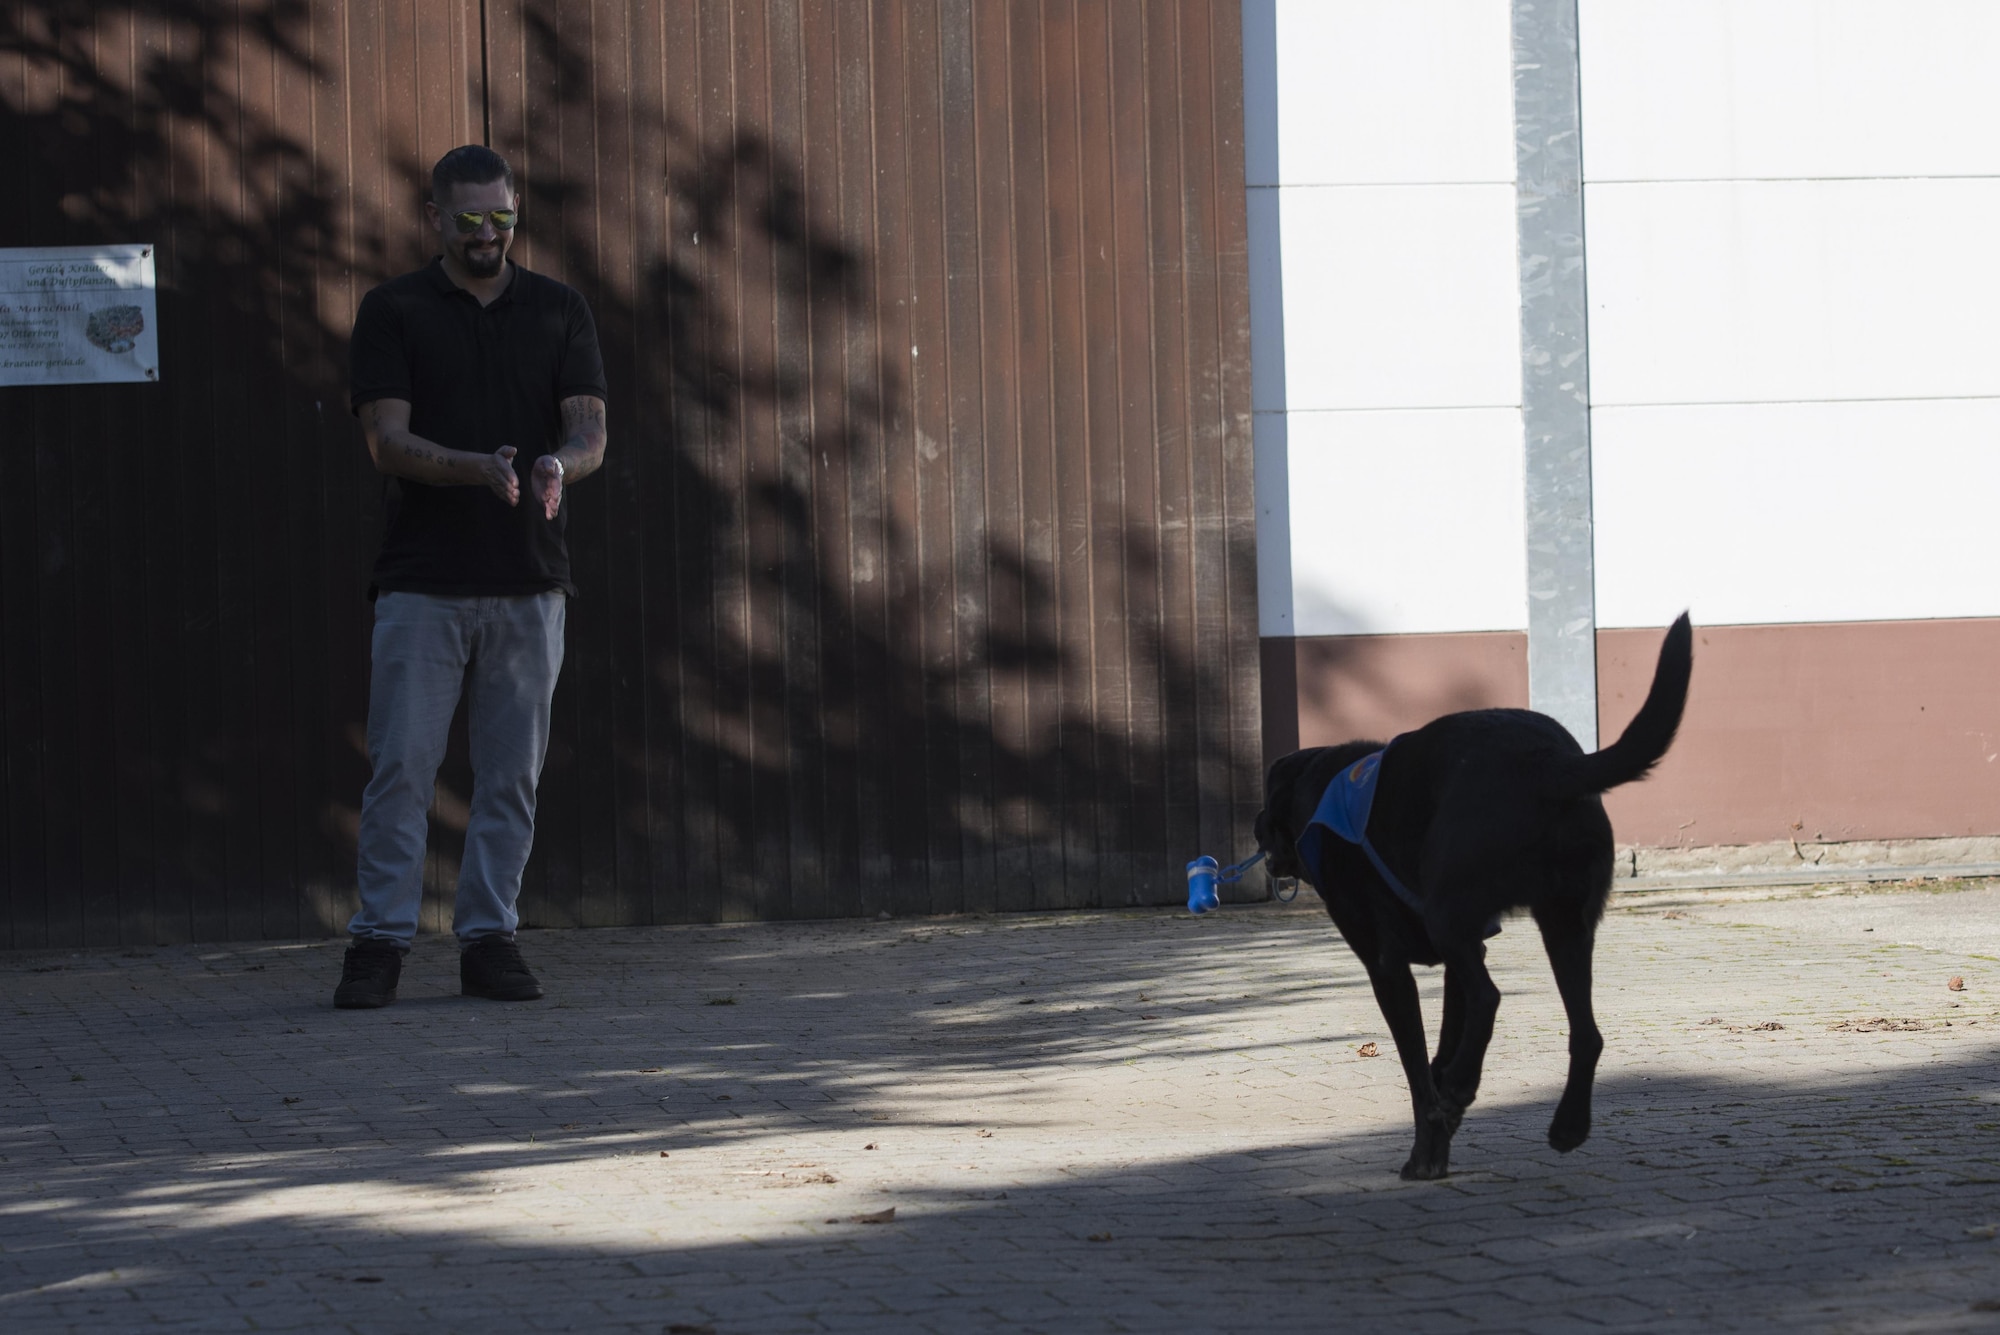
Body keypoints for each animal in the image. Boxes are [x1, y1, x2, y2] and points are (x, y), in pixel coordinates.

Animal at [1264, 615, 1688, 1175]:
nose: (1260, 840)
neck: (1321, 791)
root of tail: (1549, 764)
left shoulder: (1389, 968)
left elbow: (1418, 1069)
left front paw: (1427, 1144)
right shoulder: (1463, 955)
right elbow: (1439, 1052)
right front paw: (1440, 1135)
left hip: (1452, 917)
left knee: (1491, 997)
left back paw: (1468, 1087)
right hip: (1564, 924)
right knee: (1586, 1032)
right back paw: (1566, 1124)